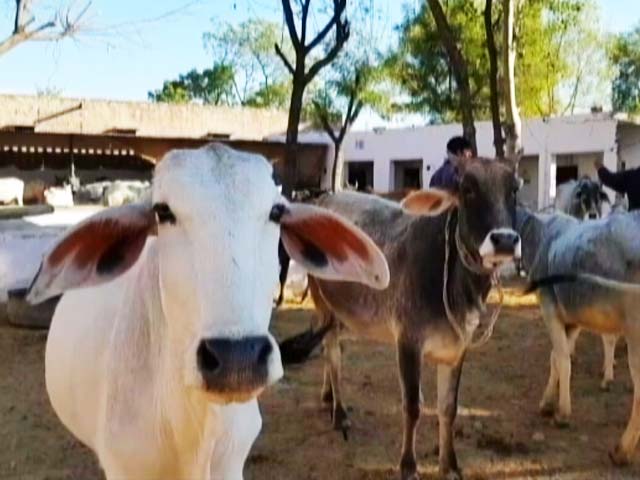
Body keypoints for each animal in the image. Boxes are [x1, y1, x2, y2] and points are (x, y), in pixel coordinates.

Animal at [306, 156, 522, 480]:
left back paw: (327, 397)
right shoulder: (408, 341)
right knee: (333, 354)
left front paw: (450, 465)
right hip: (323, 301)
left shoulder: (457, 348)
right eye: (468, 189)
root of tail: (326, 197)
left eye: (514, 190)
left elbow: (448, 407)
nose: (505, 240)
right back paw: (340, 413)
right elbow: (412, 406)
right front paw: (408, 465)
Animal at [518, 206, 640, 465]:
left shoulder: (549, 305)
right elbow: (556, 357)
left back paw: (622, 450)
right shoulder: (571, 319)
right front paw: (547, 403)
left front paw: (562, 414)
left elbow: (563, 360)